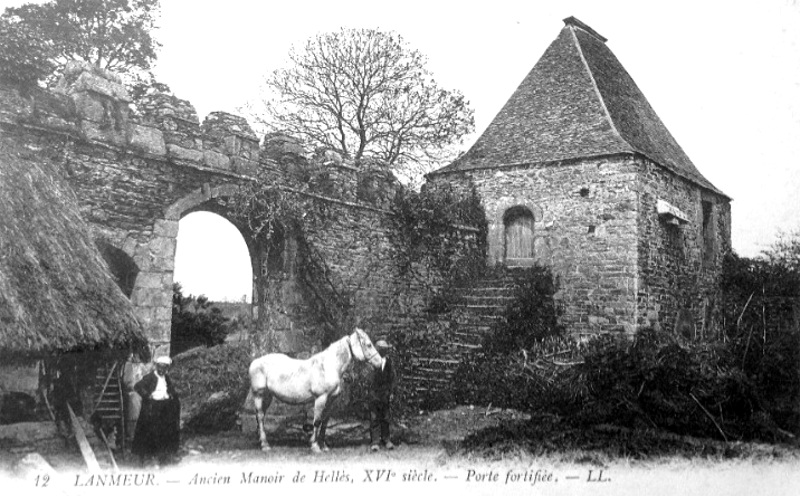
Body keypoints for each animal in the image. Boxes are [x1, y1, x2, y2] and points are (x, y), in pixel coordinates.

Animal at [248, 328, 382, 452]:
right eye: (369, 344)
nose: (380, 363)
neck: (329, 366)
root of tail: (254, 362)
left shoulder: (330, 400)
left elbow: (325, 422)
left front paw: (324, 446)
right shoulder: (320, 398)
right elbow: (317, 421)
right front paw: (315, 447)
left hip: (268, 396)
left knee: (261, 417)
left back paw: (262, 441)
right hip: (259, 394)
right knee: (260, 416)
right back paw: (265, 445)